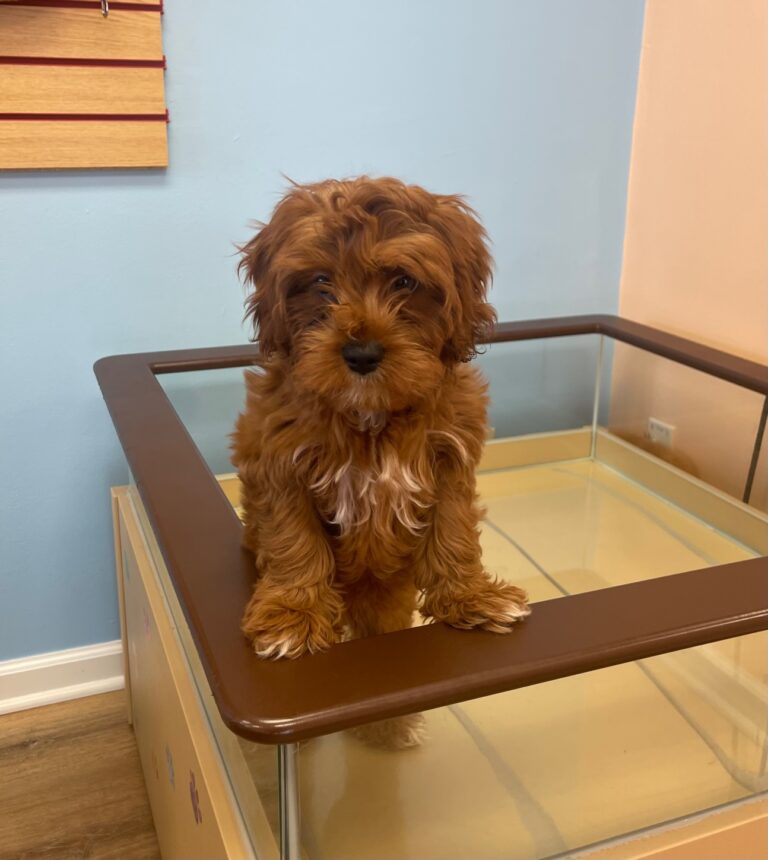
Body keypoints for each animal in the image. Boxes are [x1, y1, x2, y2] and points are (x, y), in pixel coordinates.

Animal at [231, 175, 532, 712]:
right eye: (321, 281)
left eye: (404, 282)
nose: (362, 353)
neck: (372, 415)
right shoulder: (278, 460)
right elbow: (294, 539)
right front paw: (293, 613)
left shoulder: (451, 458)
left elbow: (454, 532)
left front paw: (470, 597)